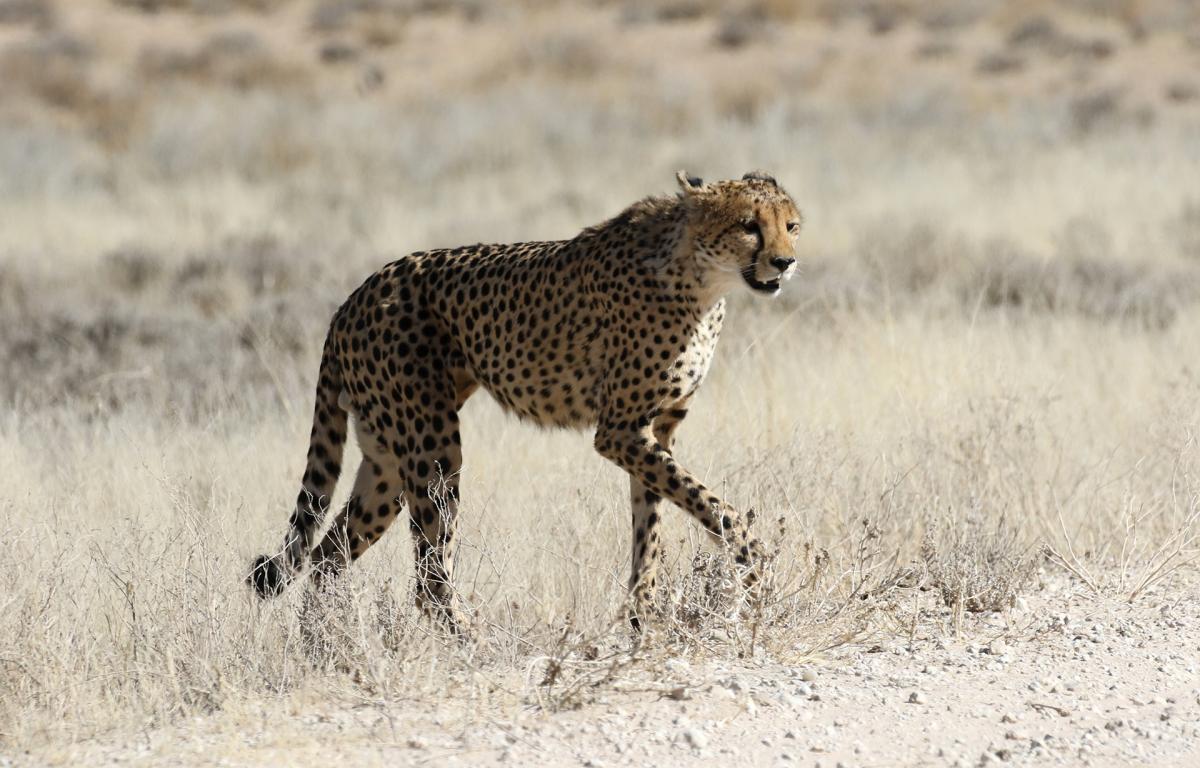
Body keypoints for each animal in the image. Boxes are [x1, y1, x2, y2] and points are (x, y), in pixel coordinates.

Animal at [248, 168, 801, 628]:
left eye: (791, 225)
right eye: (749, 226)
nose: (785, 262)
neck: (699, 277)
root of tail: (352, 298)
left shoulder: (655, 430)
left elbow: (652, 525)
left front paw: (640, 617)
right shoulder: (620, 431)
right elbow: (712, 505)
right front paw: (755, 559)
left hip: (386, 462)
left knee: (325, 559)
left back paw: (325, 648)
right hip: (432, 450)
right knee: (428, 577)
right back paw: (474, 646)